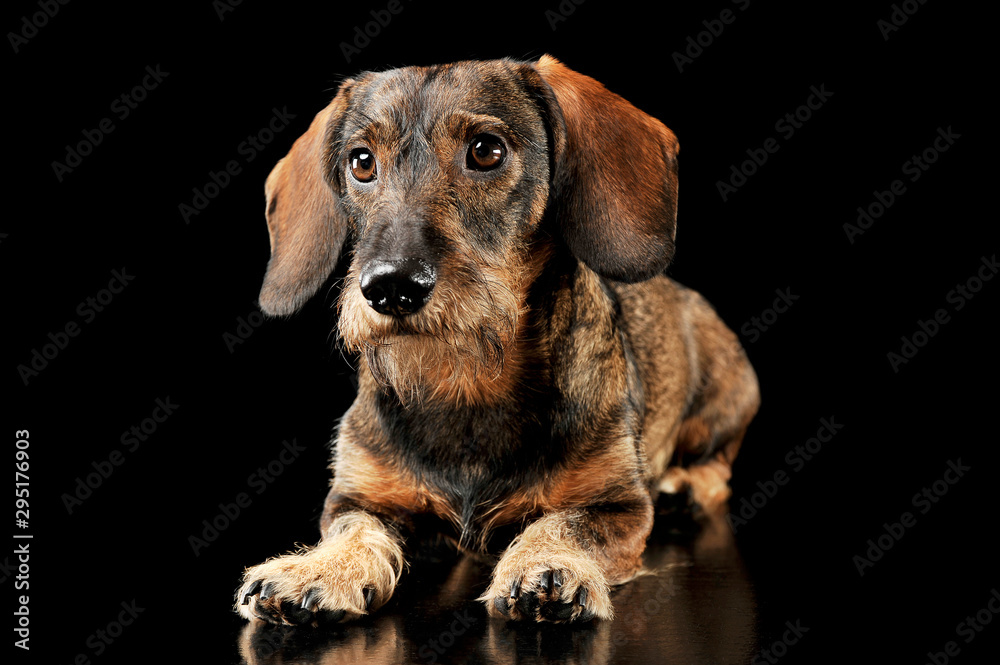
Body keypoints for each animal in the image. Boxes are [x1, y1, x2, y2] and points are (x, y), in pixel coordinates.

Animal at [238, 54, 756, 624]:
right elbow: (355, 530)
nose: (391, 287)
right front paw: (319, 567)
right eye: (361, 162)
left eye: (486, 150)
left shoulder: (619, 506)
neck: (465, 383)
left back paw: (683, 487)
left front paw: (547, 565)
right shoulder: (360, 497)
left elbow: (563, 523)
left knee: (719, 469)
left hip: (725, 402)